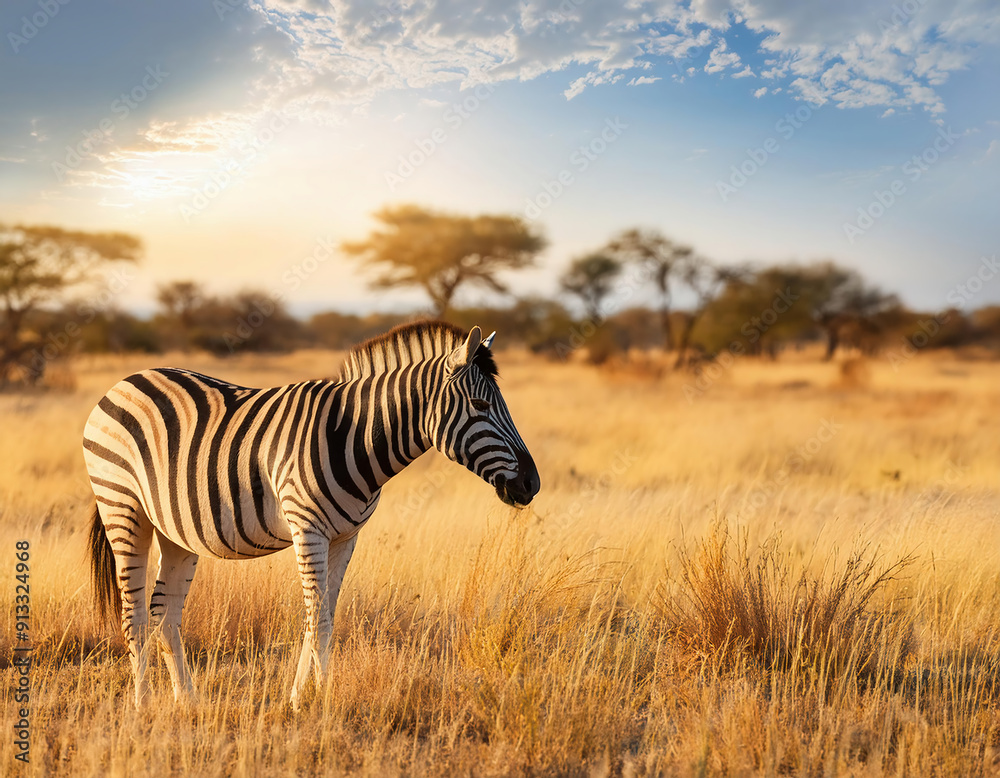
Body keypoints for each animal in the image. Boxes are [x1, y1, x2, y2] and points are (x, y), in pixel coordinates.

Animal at [84, 321, 540, 708]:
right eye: (480, 404)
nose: (532, 483)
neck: (354, 438)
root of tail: (125, 381)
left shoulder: (345, 536)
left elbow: (322, 616)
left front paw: (298, 698)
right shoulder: (308, 529)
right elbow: (317, 617)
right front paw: (325, 701)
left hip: (175, 530)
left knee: (165, 615)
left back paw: (189, 703)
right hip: (123, 508)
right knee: (134, 613)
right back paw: (143, 707)